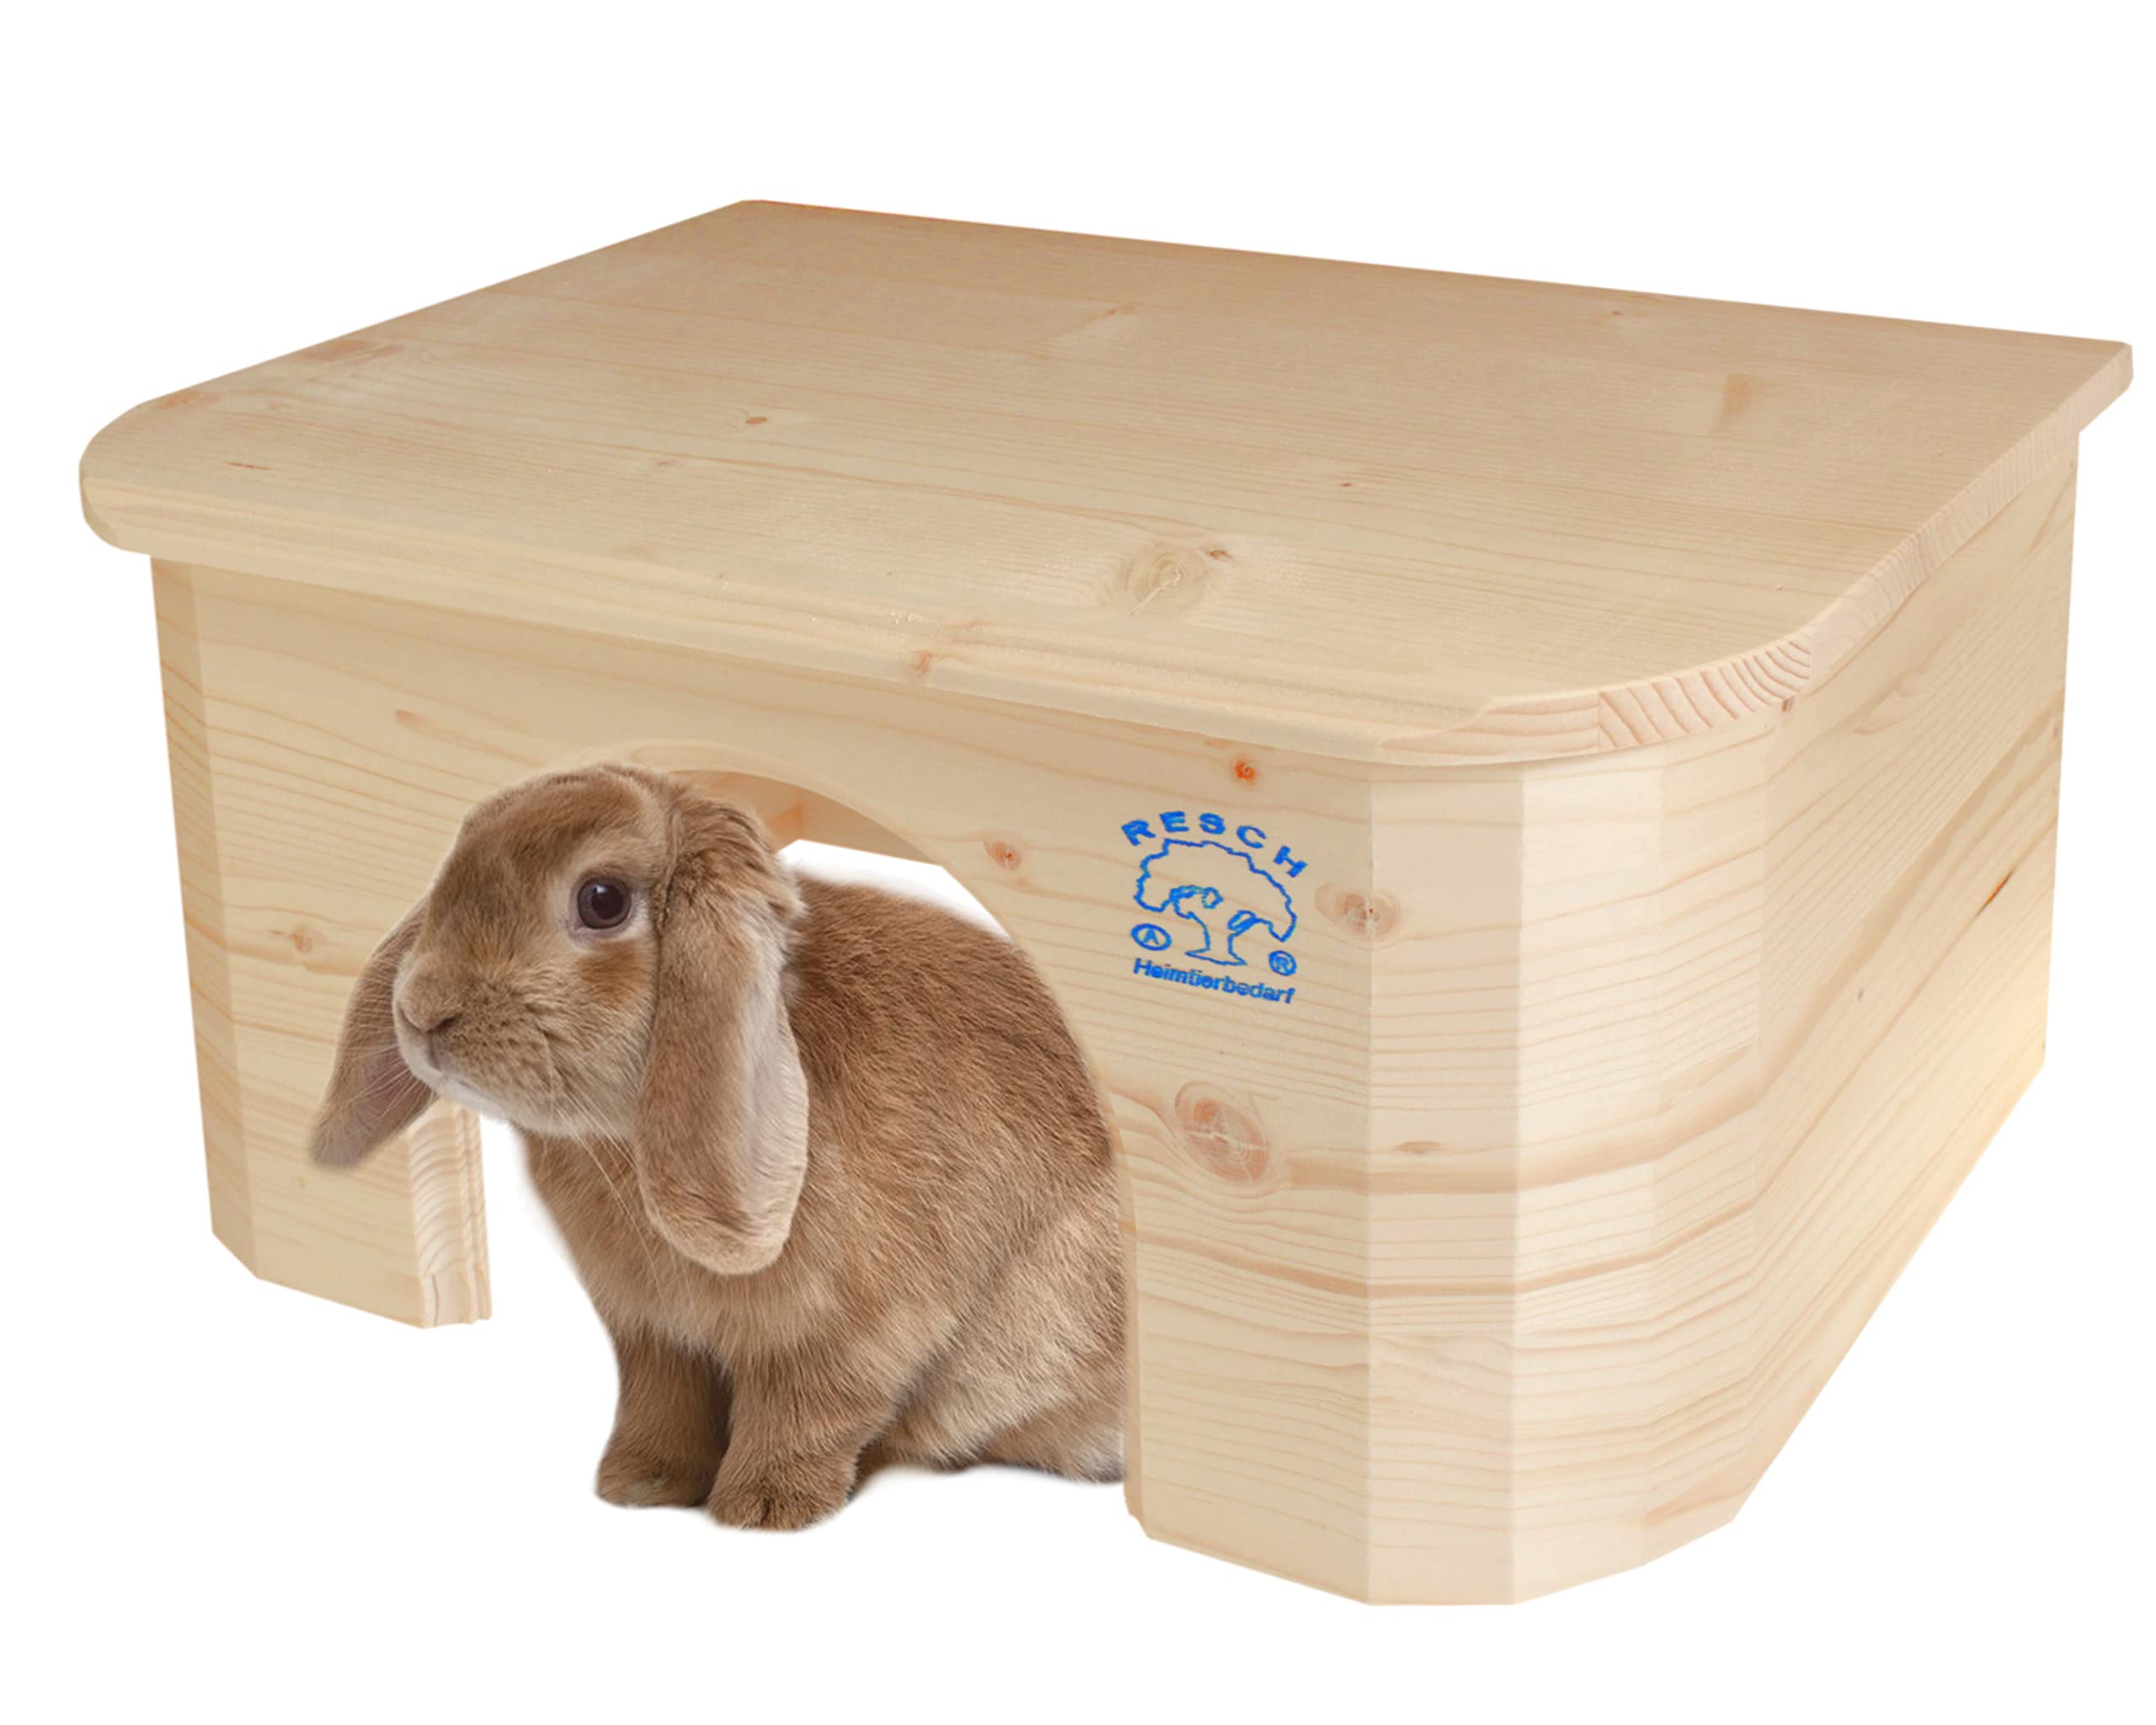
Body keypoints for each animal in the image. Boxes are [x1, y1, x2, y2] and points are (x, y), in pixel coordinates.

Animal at [307, 762, 1124, 1529]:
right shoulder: (653, 1336)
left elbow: (806, 1412)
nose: (423, 1013)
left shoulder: (847, 1333)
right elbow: (660, 1404)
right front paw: (639, 1486)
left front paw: (763, 1510)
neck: (622, 1139)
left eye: (602, 900)